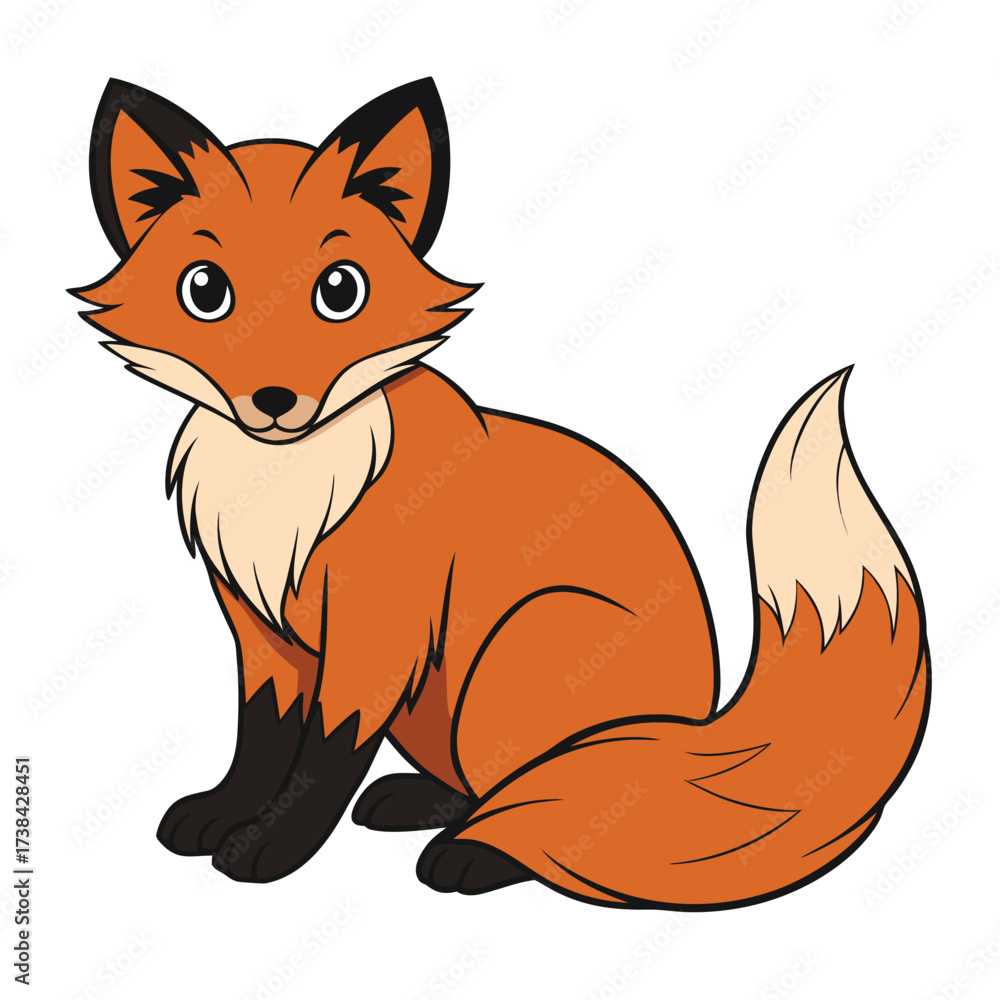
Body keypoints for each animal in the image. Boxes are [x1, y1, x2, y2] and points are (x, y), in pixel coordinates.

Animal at [72, 77, 930, 908]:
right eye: (205, 290)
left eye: (339, 290)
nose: (276, 401)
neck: (290, 484)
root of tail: (694, 742)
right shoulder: (264, 634)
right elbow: (262, 739)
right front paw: (224, 812)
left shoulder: (377, 633)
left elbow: (325, 752)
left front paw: (272, 849)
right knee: (495, 795)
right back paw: (424, 806)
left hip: (519, 652)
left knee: (555, 814)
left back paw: (476, 858)